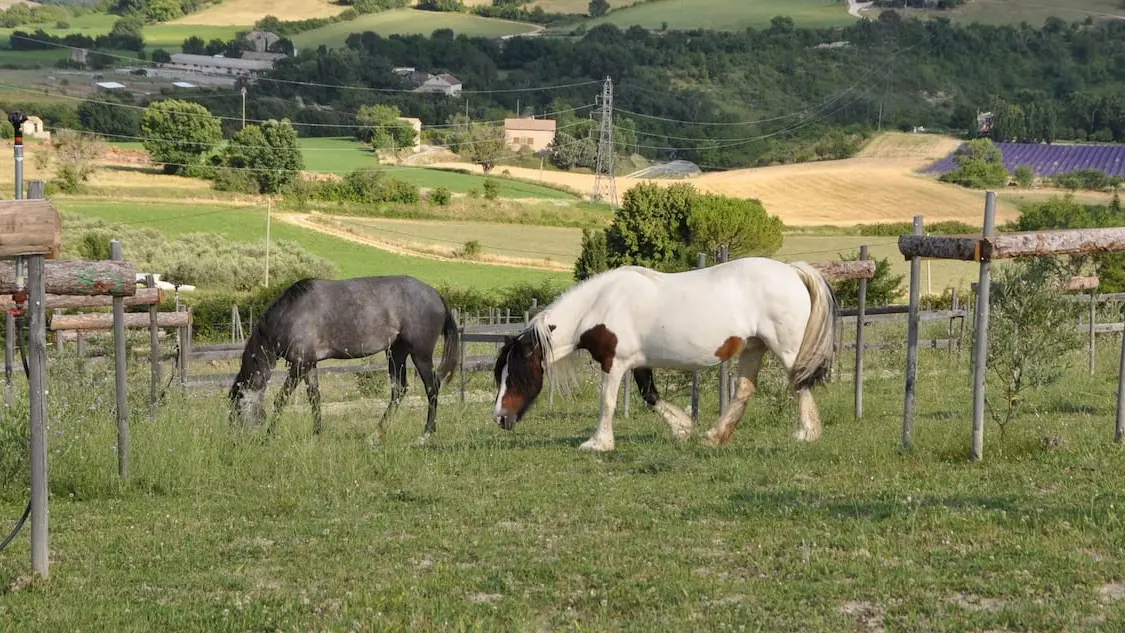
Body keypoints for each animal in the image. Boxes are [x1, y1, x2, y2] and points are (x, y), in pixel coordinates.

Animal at [227, 275, 461, 442]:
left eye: (237, 408)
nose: (233, 440)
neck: (291, 315)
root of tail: (437, 295)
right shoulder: (309, 364)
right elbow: (315, 398)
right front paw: (316, 435)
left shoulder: (299, 364)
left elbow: (281, 398)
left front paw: (269, 436)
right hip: (396, 352)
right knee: (399, 390)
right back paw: (375, 436)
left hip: (420, 354)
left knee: (432, 388)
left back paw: (425, 434)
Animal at [490, 255, 837, 454]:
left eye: (518, 376)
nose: (500, 418)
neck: (601, 305)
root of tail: (792, 271)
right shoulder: (639, 363)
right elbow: (650, 395)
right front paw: (683, 429)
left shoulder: (614, 363)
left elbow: (608, 401)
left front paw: (598, 443)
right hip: (753, 347)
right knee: (744, 390)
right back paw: (714, 436)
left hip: (787, 348)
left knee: (799, 383)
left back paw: (807, 433)